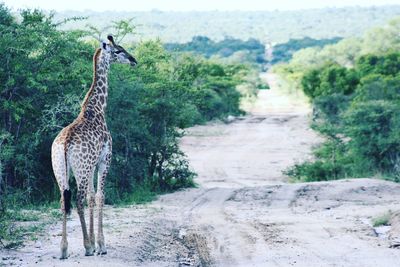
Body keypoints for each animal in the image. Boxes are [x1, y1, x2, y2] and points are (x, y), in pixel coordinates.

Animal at [50, 35, 138, 260]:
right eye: (118, 51)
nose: (133, 60)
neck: (97, 108)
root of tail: (65, 143)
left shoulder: (91, 165)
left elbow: (92, 196)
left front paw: (95, 242)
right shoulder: (104, 160)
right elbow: (99, 196)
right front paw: (101, 245)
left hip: (61, 170)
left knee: (64, 200)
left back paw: (63, 249)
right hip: (81, 169)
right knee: (78, 200)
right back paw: (87, 247)